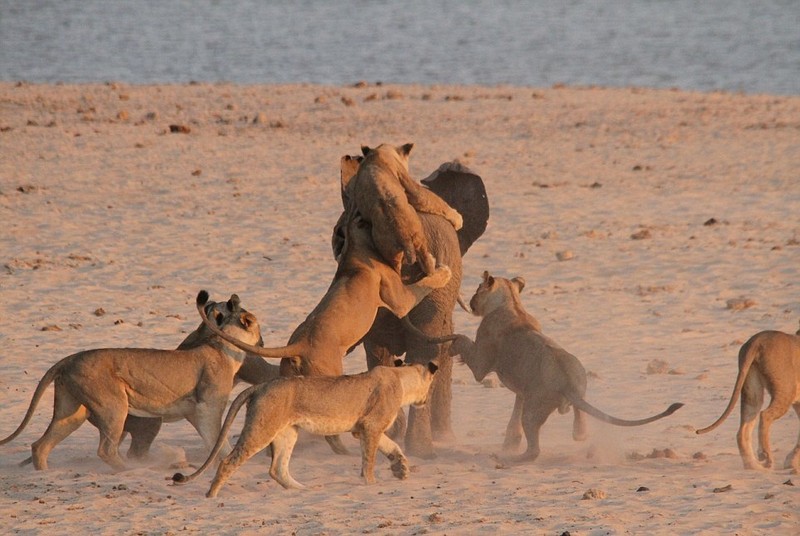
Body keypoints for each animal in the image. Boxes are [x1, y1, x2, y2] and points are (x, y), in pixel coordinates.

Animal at [0, 292, 262, 472]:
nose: (261, 342)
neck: (220, 344)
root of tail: (69, 359)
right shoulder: (207, 408)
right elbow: (219, 441)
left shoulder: (195, 412)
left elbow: (214, 441)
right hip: (113, 406)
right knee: (106, 449)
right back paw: (132, 471)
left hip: (71, 411)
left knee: (40, 445)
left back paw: (45, 474)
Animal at [172, 358, 440, 496]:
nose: (427, 401)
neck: (402, 378)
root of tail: (262, 385)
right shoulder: (370, 426)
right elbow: (369, 460)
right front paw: (372, 484)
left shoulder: (363, 428)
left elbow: (391, 445)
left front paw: (401, 468)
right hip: (262, 428)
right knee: (228, 461)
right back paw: (212, 495)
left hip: (287, 433)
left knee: (277, 469)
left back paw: (304, 490)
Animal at [342, 143, 462, 276]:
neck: (378, 152)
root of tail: (404, 237)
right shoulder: (407, 182)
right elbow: (429, 198)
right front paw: (458, 219)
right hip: (413, 236)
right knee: (425, 265)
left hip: (402, 248)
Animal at [446, 270, 684, 462]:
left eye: (477, 289)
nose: (471, 301)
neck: (512, 302)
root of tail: (567, 384)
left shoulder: (481, 364)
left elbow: (464, 342)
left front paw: (452, 344)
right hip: (579, 385)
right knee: (580, 426)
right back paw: (577, 431)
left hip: (533, 411)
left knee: (534, 450)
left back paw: (507, 459)